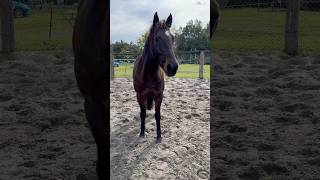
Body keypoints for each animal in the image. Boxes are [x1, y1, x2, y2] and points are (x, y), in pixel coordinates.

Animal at [132, 12, 178, 143]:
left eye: (172, 38)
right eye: (157, 38)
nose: (173, 67)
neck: (149, 74)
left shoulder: (159, 95)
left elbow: (158, 115)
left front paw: (159, 136)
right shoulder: (139, 95)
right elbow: (142, 113)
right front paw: (142, 133)